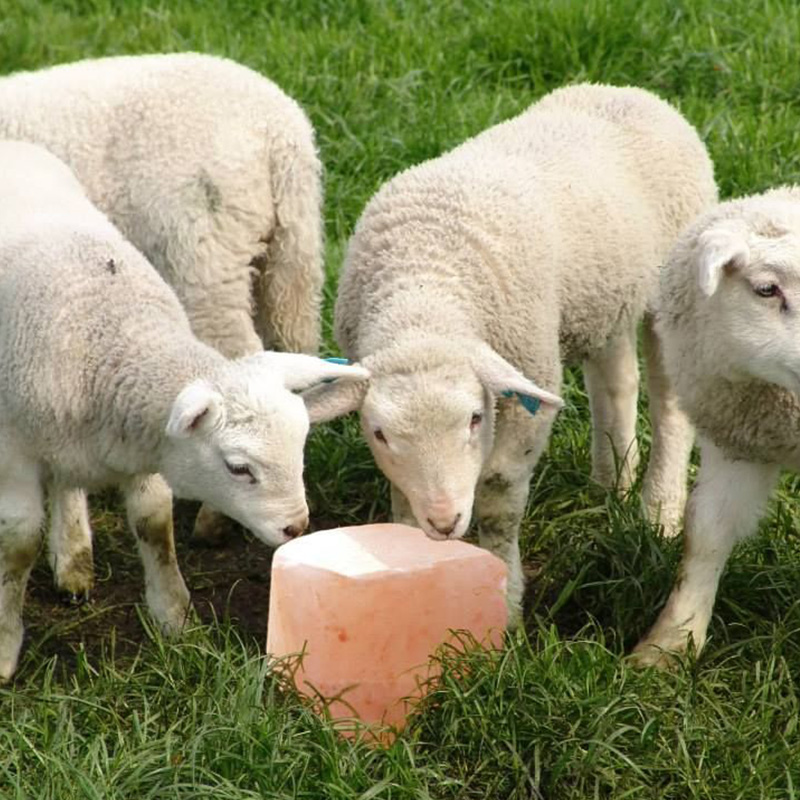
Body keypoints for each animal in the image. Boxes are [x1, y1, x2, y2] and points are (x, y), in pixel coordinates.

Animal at [0, 141, 367, 680]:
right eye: (238, 468)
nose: (296, 528)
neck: (115, 340)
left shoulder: (143, 442)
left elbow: (155, 523)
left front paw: (175, 618)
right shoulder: (16, 454)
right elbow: (19, 545)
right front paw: (6, 644)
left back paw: (73, 559)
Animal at [305, 83, 717, 621]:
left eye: (475, 419)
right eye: (380, 433)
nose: (445, 521)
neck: (425, 292)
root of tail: (629, 91)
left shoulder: (527, 389)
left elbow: (499, 501)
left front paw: (505, 603)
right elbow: (402, 500)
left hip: (672, 292)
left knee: (669, 405)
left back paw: (658, 513)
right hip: (605, 295)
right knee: (616, 381)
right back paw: (611, 484)